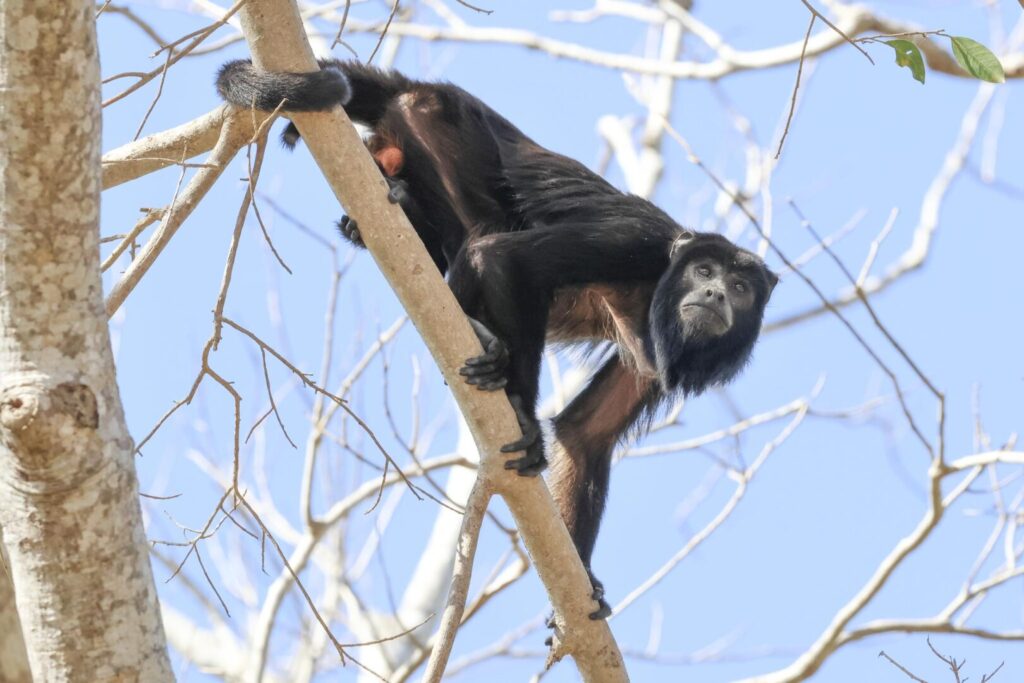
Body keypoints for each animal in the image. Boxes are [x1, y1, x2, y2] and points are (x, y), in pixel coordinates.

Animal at [217, 59, 778, 619]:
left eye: (740, 287)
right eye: (704, 271)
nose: (715, 293)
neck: (660, 282)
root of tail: (428, 89)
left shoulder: (655, 360)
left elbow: (584, 434)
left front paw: (583, 580)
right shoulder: (637, 242)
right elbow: (511, 258)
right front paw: (524, 414)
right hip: (440, 125)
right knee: (483, 232)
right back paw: (484, 336)